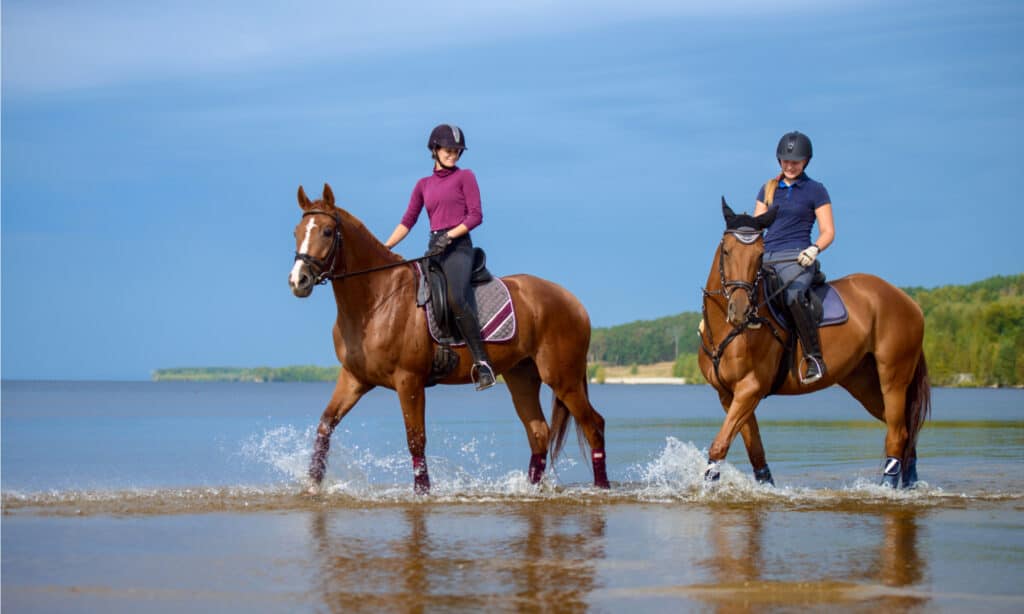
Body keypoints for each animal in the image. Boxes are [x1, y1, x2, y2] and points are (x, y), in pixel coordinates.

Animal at [286, 183, 606, 493]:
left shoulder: (409, 381)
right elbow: (326, 425)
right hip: (522, 376)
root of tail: (573, 301)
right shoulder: (354, 378)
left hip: (563, 379)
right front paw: (312, 485)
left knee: (594, 426)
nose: (298, 280)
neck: (378, 299)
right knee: (539, 433)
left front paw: (422, 493)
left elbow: (416, 440)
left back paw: (602, 487)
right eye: (297, 232)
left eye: (327, 231)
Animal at [696, 201, 929, 489]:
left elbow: (720, 445)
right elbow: (755, 450)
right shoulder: (728, 394)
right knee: (906, 431)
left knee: (897, 433)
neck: (729, 330)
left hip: (893, 379)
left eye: (760, 256)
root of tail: (909, 302)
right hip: (863, 381)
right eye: (727, 251)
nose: (740, 310)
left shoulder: (750, 388)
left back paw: (887, 488)